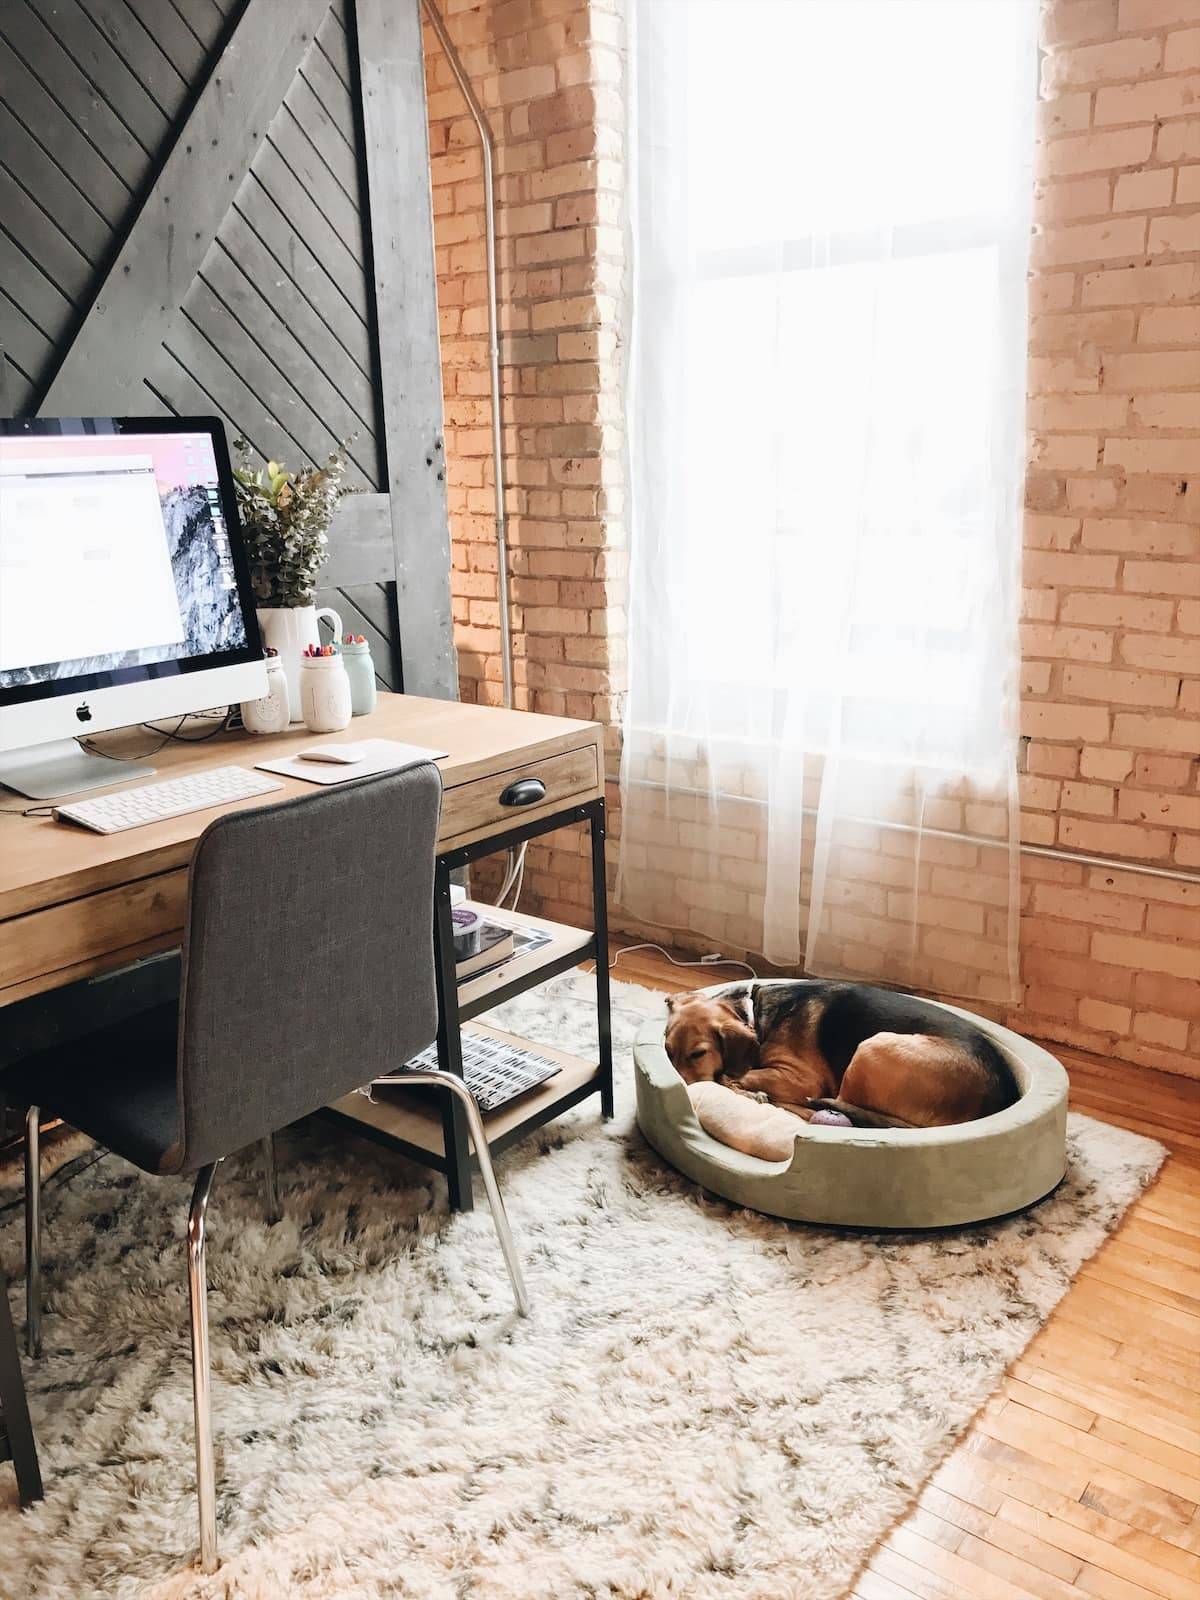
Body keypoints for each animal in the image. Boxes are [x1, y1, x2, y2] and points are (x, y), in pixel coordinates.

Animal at [662, 979, 1017, 1132]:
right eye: (667, 1052)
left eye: (698, 1054)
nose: (679, 1089)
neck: (752, 1010)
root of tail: (995, 1100)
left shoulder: (800, 1078)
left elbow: (734, 1075)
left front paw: (746, 1089)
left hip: (872, 1048)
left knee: (823, 1108)